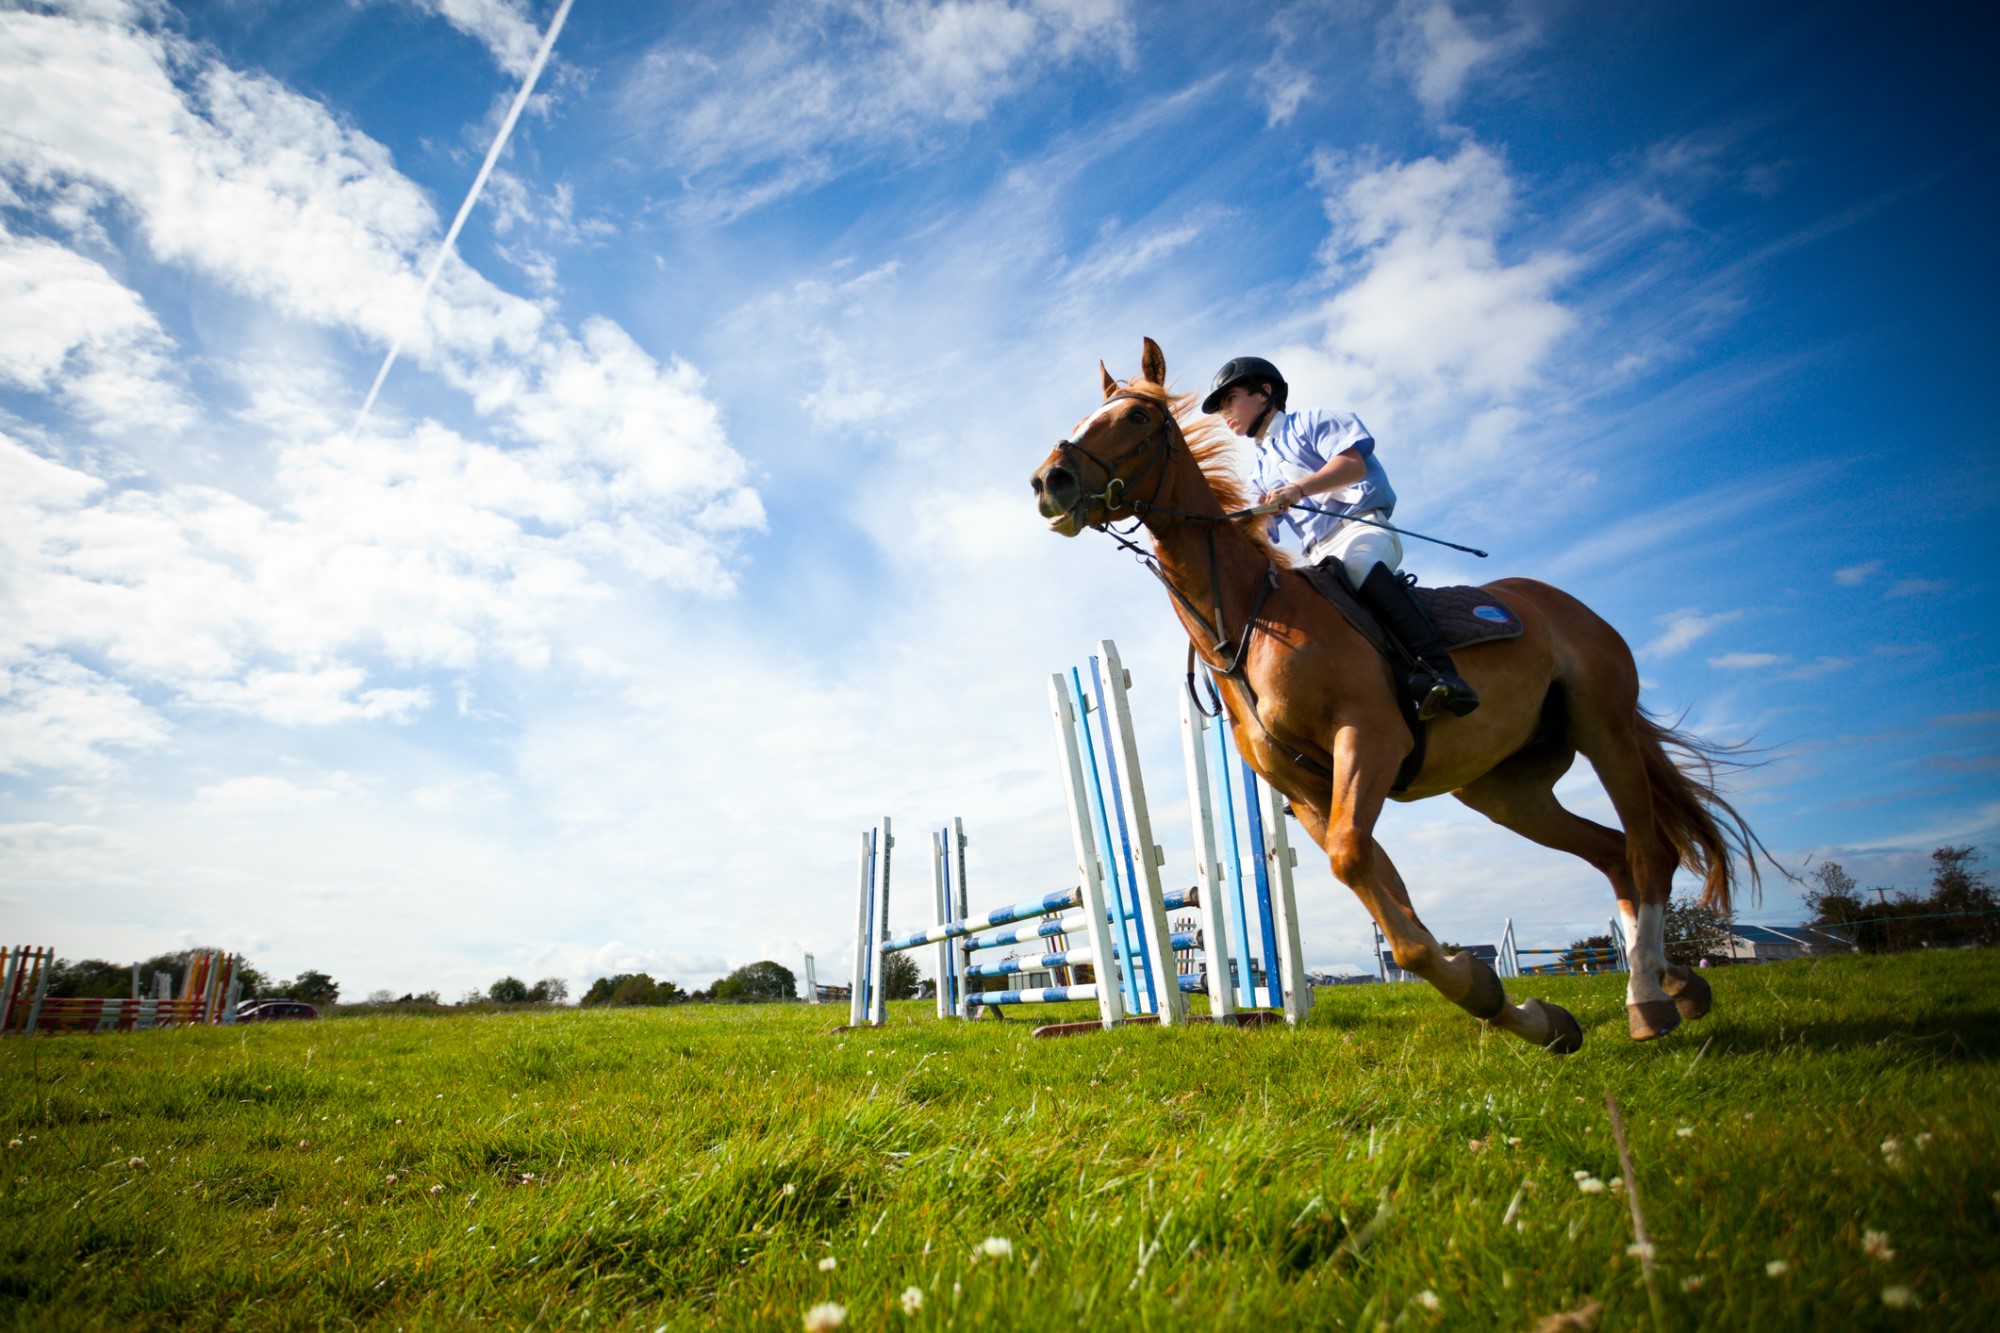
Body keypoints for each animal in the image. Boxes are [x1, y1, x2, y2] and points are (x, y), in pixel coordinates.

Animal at [1032, 338, 1768, 1056]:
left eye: (1135, 417)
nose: (1048, 482)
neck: (1252, 619)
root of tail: (1562, 604)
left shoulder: (1370, 739)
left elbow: (1360, 869)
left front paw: (1494, 997)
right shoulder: (1310, 792)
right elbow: (1385, 896)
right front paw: (1521, 1010)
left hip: (1602, 727)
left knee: (1648, 852)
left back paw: (1647, 999)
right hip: (1507, 791)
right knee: (1613, 853)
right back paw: (1673, 985)